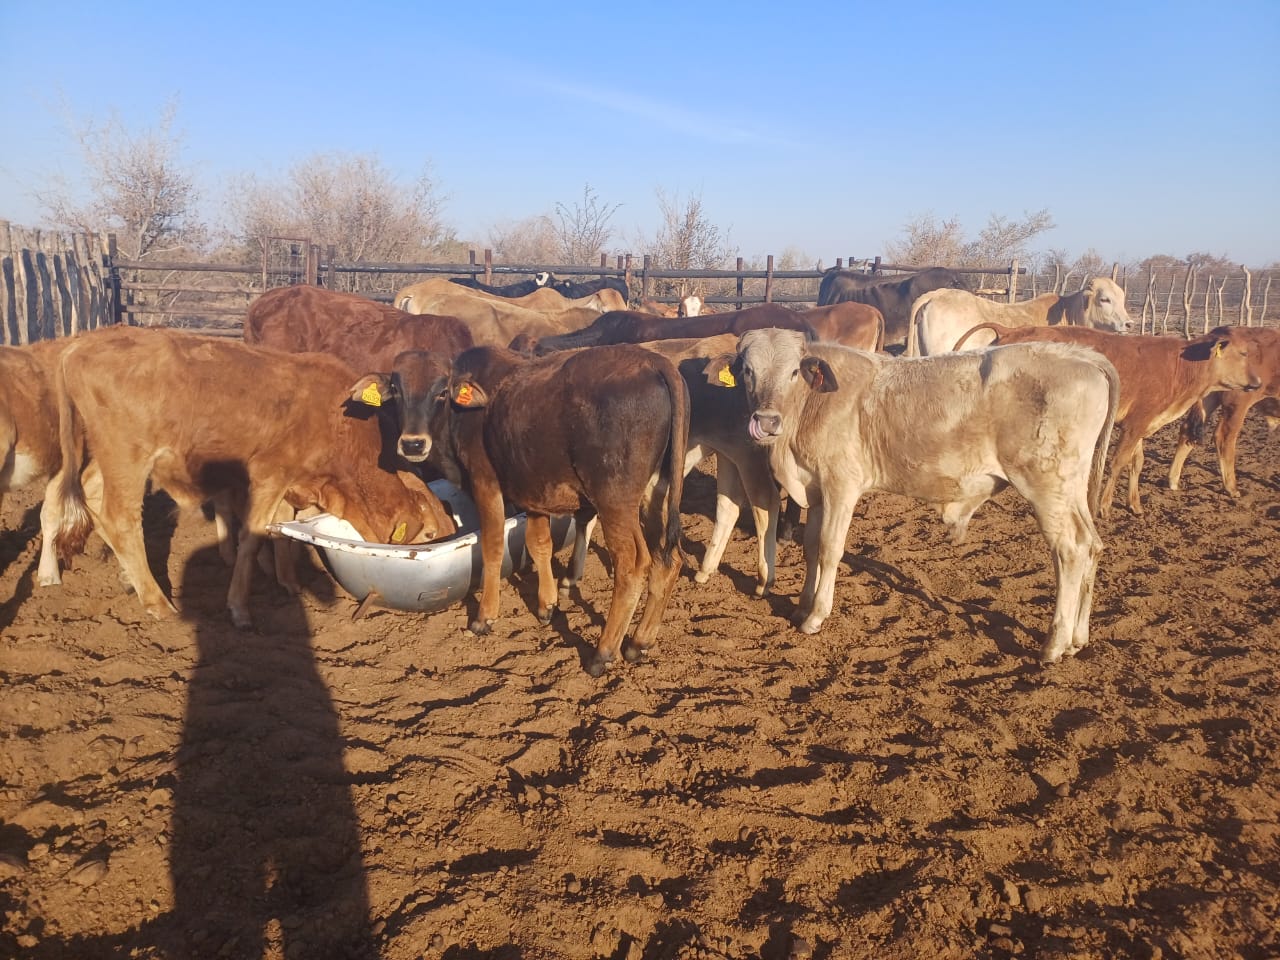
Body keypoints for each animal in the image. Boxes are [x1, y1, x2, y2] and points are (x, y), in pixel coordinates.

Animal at [48, 330, 455, 632]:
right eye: (430, 534)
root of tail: (79, 346)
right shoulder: (269, 474)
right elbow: (253, 536)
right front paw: (240, 608)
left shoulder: (292, 482)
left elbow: (282, 530)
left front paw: (287, 581)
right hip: (127, 459)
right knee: (120, 519)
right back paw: (157, 602)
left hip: (104, 459)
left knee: (90, 499)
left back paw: (126, 578)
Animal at [706, 327, 1116, 665]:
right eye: (748, 371)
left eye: (793, 372)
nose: (767, 421)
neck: (810, 406)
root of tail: (1080, 355)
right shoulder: (817, 489)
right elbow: (810, 548)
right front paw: (801, 607)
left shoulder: (842, 485)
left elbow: (829, 549)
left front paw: (816, 616)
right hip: (1070, 490)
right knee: (1092, 545)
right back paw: (1078, 637)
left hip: (1047, 487)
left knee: (1070, 550)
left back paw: (1054, 644)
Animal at [957, 323, 1264, 514]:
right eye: (1243, 353)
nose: (1258, 382)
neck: (1181, 365)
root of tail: (1012, 329)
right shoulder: (1135, 424)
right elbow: (1117, 463)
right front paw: (1104, 506)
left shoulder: (1141, 424)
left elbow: (1136, 463)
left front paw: (1135, 504)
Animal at [1172, 330, 1280, 499]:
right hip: (1237, 403)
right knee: (1224, 437)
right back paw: (1232, 488)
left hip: (1209, 397)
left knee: (1186, 429)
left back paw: (1173, 481)